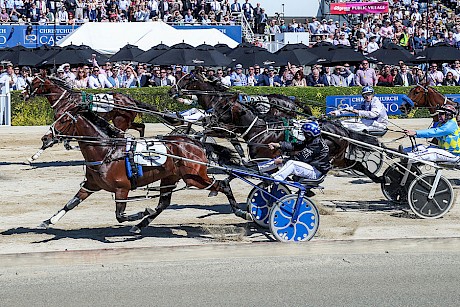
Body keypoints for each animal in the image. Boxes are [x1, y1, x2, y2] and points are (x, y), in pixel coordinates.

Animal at [39, 109, 250, 235]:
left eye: (64, 120)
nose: (45, 138)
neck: (107, 151)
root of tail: (196, 143)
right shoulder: (91, 185)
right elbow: (71, 203)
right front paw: (48, 221)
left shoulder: (122, 189)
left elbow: (120, 215)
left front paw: (141, 212)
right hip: (170, 177)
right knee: (164, 203)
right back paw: (140, 225)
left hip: (195, 178)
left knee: (222, 185)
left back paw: (243, 212)